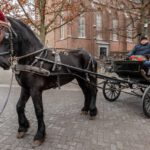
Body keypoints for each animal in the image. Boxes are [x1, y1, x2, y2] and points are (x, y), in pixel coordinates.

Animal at [0, 17, 97, 146]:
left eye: (7, 37)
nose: (2, 62)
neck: (33, 59)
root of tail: (90, 54)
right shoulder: (25, 87)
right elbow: (19, 106)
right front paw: (23, 127)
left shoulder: (35, 89)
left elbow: (38, 110)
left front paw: (39, 135)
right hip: (80, 78)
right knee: (86, 92)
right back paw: (85, 109)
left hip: (90, 77)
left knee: (94, 91)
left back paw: (93, 111)